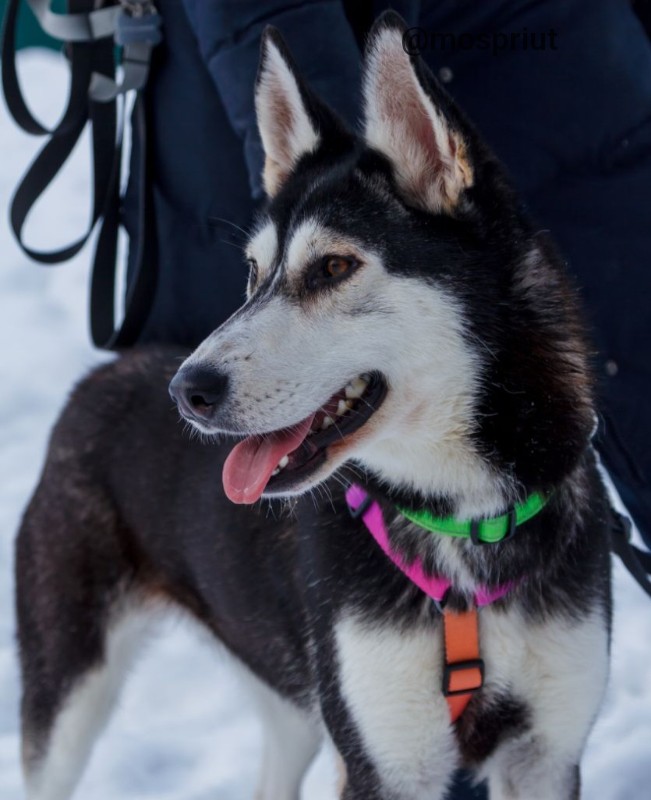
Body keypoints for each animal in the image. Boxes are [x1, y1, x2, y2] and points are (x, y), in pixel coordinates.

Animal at [17, 14, 612, 800]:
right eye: (252, 273)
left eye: (332, 267)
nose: (188, 390)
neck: (463, 524)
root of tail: (102, 374)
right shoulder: (383, 762)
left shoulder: (545, 753)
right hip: (67, 690)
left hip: (293, 702)